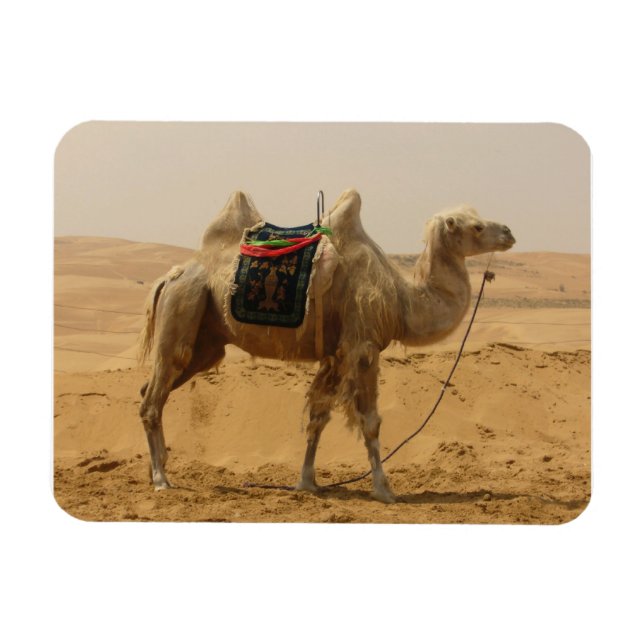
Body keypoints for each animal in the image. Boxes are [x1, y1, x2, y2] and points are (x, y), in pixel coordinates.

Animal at [138, 189, 516, 502]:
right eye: (477, 227)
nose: (509, 232)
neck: (399, 301)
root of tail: (168, 277)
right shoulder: (362, 347)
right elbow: (370, 421)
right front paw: (384, 490)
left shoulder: (335, 354)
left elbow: (318, 416)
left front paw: (307, 483)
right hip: (184, 306)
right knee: (153, 399)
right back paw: (160, 480)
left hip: (207, 341)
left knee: (151, 390)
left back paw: (159, 468)